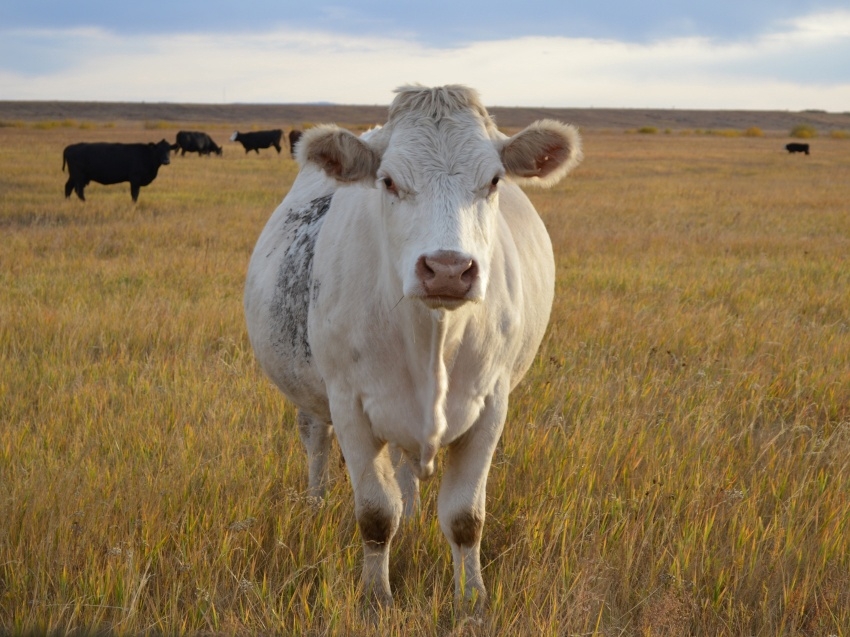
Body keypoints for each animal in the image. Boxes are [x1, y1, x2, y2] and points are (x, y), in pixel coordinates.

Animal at [242, 85, 580, 608]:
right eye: (388, 181)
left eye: (494, 180)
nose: (447, 269)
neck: (431, 335)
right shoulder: (349, 406)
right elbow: (377, 515)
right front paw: (376, 598)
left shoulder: (492, 405)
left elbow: (465, 517)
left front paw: (471, 600)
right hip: (311, 394)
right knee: (315, 442)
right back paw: (315, 504)